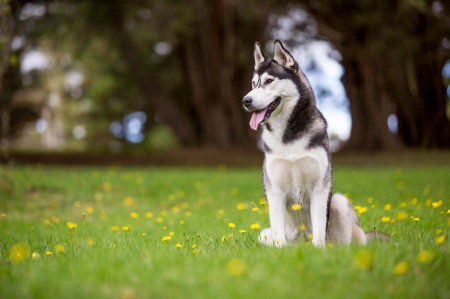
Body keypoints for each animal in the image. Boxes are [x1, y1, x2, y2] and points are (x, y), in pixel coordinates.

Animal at [243, 40, 370, 248]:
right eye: (254, 84)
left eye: (269, 81)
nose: (246, 100)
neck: (289, 137)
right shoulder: (275, 191)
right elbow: (278, 227)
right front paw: (280, 250)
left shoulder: (319, 188)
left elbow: (318, 226)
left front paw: (318, 249)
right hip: (264, 234)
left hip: (339, 202)